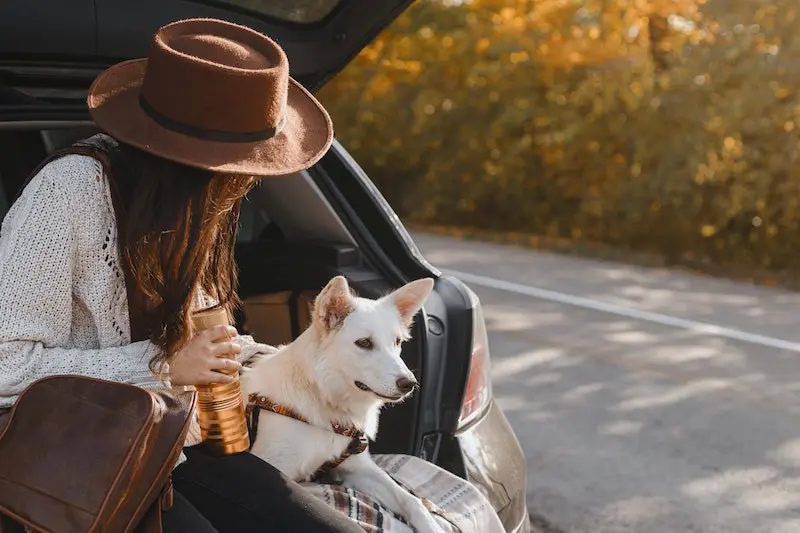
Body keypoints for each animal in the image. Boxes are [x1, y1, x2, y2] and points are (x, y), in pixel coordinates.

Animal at [241, 274, 446, 532]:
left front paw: (431, 525)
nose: (409, 384)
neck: (323, 398)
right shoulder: (273, 469)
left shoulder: (359, 468)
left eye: (397, 342)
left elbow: (410, 500)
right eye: (364, 343)